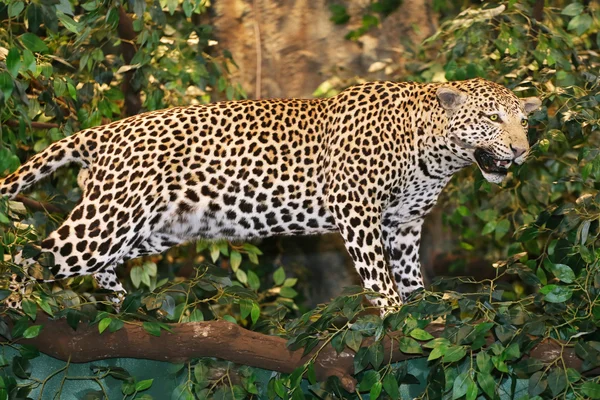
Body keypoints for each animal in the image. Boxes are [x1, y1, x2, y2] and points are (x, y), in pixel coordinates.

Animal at [0, 79, 540, 312]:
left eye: (524, 121)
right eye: (491, 118)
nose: (521, 150)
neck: (439, 154)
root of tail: (103, 132)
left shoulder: (404, 223)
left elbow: (409, 274)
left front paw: (421, 308)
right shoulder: (357, 210)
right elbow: (378, 276)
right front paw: (392, 312)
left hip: (151, 228)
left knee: (103, 266)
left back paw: (123, 304)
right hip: (106, 220)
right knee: (43, 253)